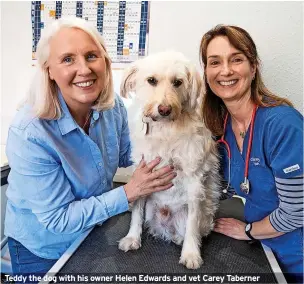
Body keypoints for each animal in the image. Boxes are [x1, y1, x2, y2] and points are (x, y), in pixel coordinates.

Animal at [118, 51, 221, 270]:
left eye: (177, 82)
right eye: (151, 80)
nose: (164, 109)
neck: (165, 129)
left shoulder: (194, 179)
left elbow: (192, 224)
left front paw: (191, 253)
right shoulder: (143, 173)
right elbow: (136, 212)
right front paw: (132, 238)